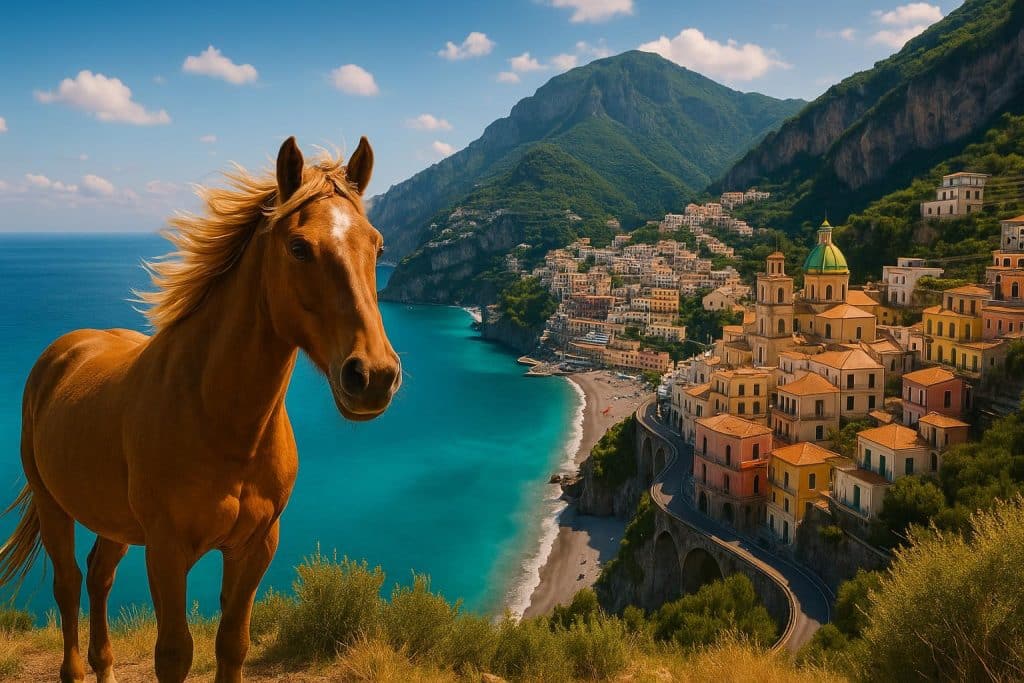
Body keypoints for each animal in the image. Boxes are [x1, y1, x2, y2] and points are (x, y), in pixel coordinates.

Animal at [0, 136, 401, 682]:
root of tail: (65, 349)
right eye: (299, 248)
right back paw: (77, 669)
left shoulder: (256, 548)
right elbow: (174, 654)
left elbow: (233, 644)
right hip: (52, 505)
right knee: (68, 585)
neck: (220, 421)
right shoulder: (167, 551)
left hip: (113, 520)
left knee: (100, 576)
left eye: (378, 247)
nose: (374, 375)